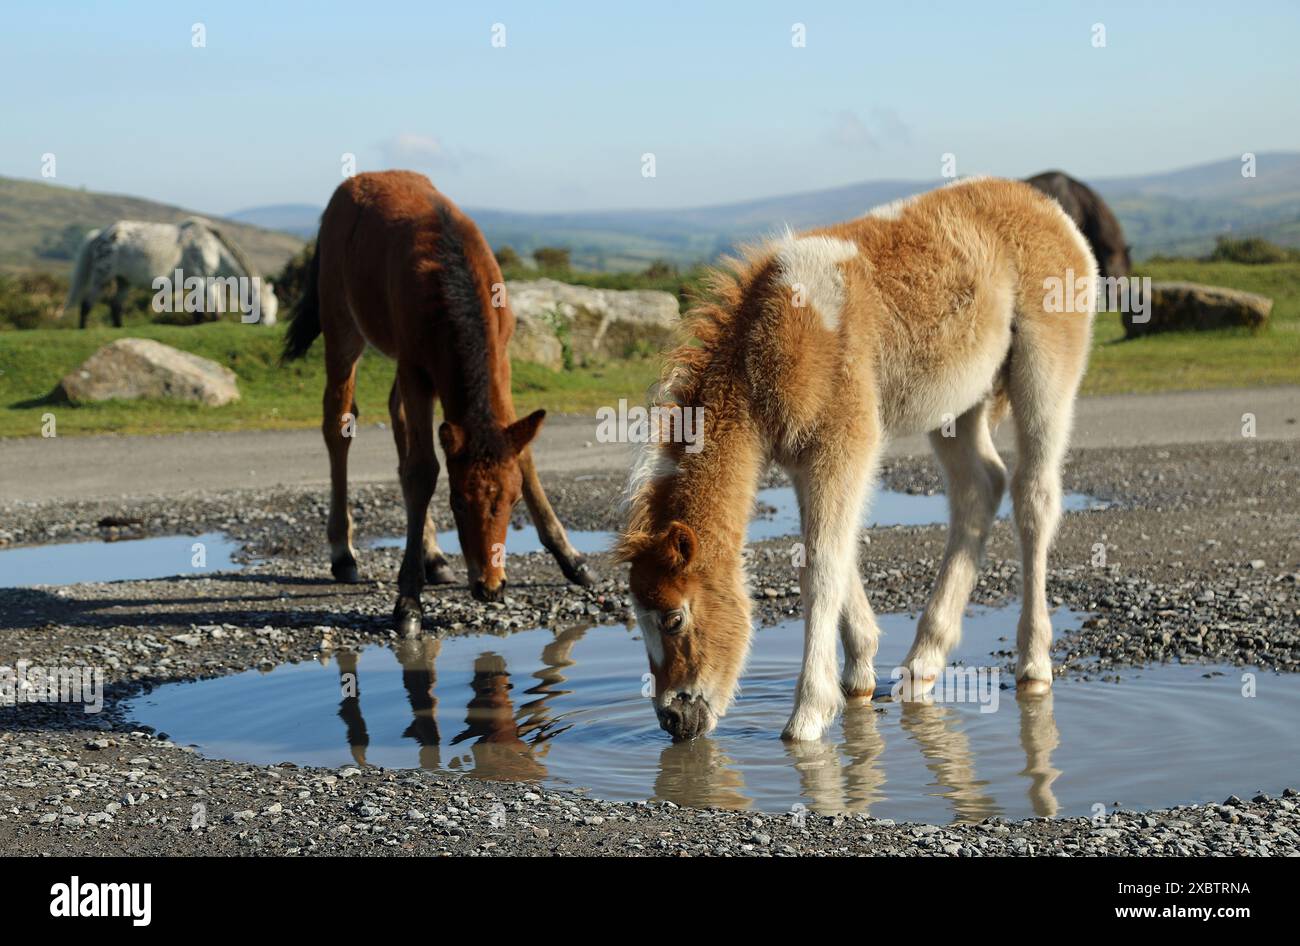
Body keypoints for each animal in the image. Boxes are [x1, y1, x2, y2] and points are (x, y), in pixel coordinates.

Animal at [61, 218, 278, 327]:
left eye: (275, 309)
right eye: (263, 309)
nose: (269, 324)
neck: (212, 247)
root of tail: (101, 235)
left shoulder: (209, 281)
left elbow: (207, 311)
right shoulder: (201, 280)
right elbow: (209, 312)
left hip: (125, 281)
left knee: (116, 306)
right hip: (102, 277)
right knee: (87, 304)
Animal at [281, 170, 593, 635]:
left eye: (512, 501)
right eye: (458, 501)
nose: (490, 586)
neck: (453, 283)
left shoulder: (501, 360)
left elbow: (524, 455)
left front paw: (571, 559)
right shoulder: (415, 366)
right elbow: (423, 471)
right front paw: (408, 601)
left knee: (394, 415)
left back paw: (434, 556)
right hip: (341, 325)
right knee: (339, 422)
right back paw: (343, 552)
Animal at [618, 177, 1096, 742]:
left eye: (673, 618)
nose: (674, 718)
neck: (778, 335)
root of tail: (1048, 208)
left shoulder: (845, 442)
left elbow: (821, 563)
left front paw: (808, 716)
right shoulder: (804, 459)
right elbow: (836, 550)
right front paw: (859, 676)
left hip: (1046, 369)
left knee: (1033, 497)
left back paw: (1033, 664)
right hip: (958, 403)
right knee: (980, 488)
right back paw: (922, 664)